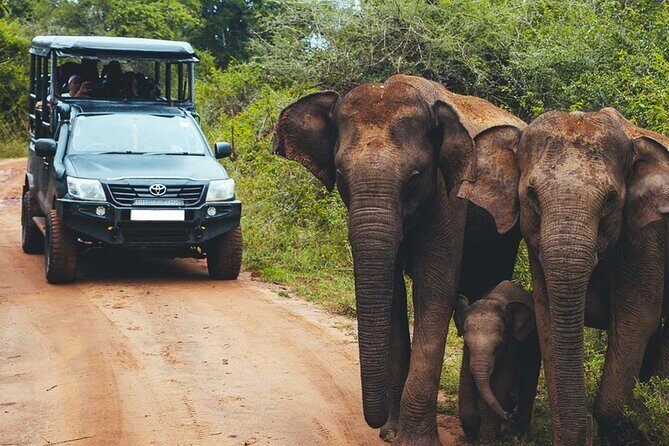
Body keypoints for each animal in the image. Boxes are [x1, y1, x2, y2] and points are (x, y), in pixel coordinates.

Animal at [272, 74, 526, 445]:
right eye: (341, 176)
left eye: (415, 177)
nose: (376, 425)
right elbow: (391, 296)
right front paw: (392, 433)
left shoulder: (449, 197)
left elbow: (434, 293)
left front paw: (413, 440)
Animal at [454, 280, 541, 444]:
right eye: (467, 345)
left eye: (499, 346)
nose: (508, 415)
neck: (495, 298)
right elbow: (465, 380)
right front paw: (471, 436)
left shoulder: (511, 345)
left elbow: (501, 382)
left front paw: (486, 440)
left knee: (528, 379)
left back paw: (520, 433)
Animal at [516, 108, 669, 445]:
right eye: (532, 196)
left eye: (611, 199)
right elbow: (546, 317)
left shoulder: (645, 233)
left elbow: (637, 318)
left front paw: (626, 427)